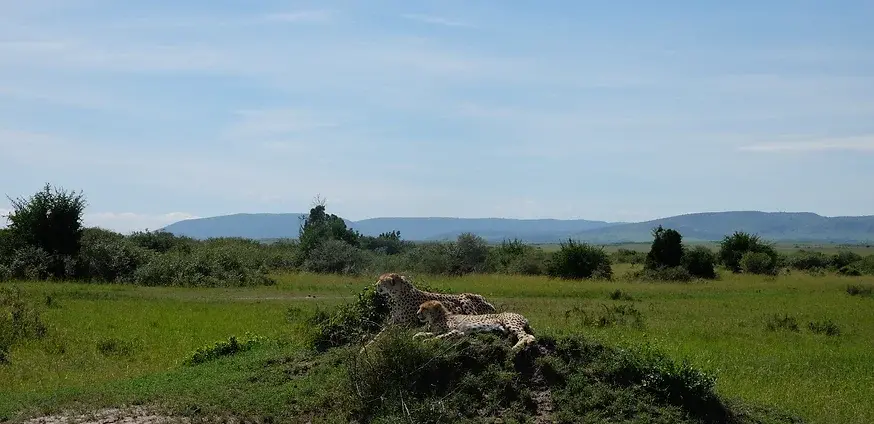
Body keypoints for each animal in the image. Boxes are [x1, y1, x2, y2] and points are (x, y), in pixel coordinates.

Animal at [358, 272, 496, 353]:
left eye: (382, 281)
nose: (376, 285)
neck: (398, 294)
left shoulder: (407, 325)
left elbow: (387, 333)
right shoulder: (394, 321)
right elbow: (379, 334)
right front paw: (365, 347)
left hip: (464, 298)